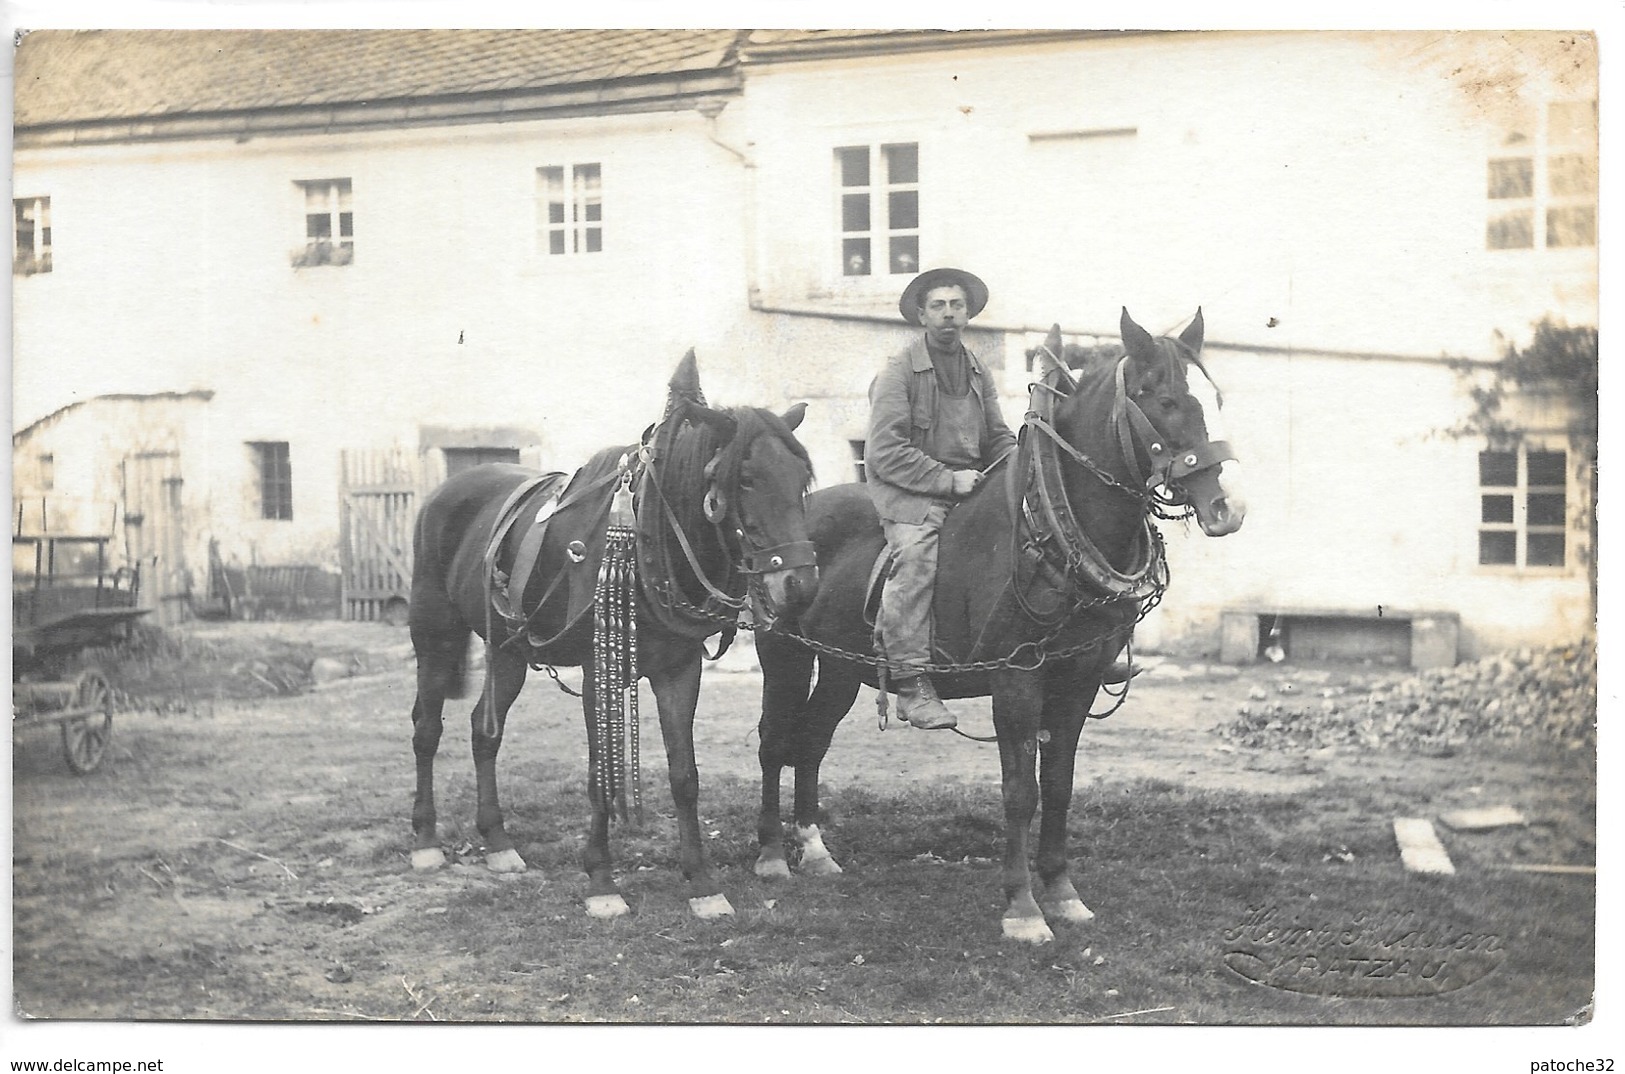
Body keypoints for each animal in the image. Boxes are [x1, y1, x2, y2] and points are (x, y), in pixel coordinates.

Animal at [403, 354, 812, 922]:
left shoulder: (678, 669)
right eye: (746, 479)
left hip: (507, 649)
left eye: (802, 481)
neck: (649, 532)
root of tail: (447, 491)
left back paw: (498, 841)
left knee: (485, 731)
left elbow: (684, 775)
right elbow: (600, 772)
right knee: (427, 728)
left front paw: (702, 882)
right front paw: (601, 880)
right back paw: (425, 841)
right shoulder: (601, 668)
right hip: (434, 634)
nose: (799, 585)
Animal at [747, 307, 1241, 935]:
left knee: (811, 741)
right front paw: (1023, 910)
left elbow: (1058, 786)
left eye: (1216, 396)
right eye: (1167, 399)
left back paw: (814, 850)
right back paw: (769, 856)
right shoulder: (1016, 680)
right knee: (774, 741)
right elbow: (1019, 792)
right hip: (783, 654)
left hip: (839, 669)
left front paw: (1063, 893)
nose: (1226, 509)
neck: (1050, 529)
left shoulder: (1078, 679)